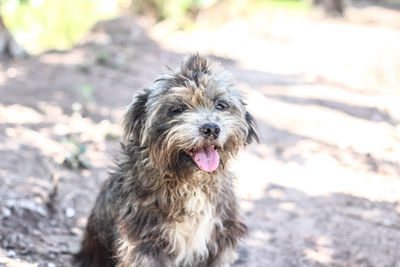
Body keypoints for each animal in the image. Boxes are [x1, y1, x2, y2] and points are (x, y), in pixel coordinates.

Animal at [74, 54, 258, 267]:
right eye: (178, 109)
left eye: (221, 105)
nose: (211, 128)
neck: (190, 183)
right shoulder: (144, 245)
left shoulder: (220, 241)